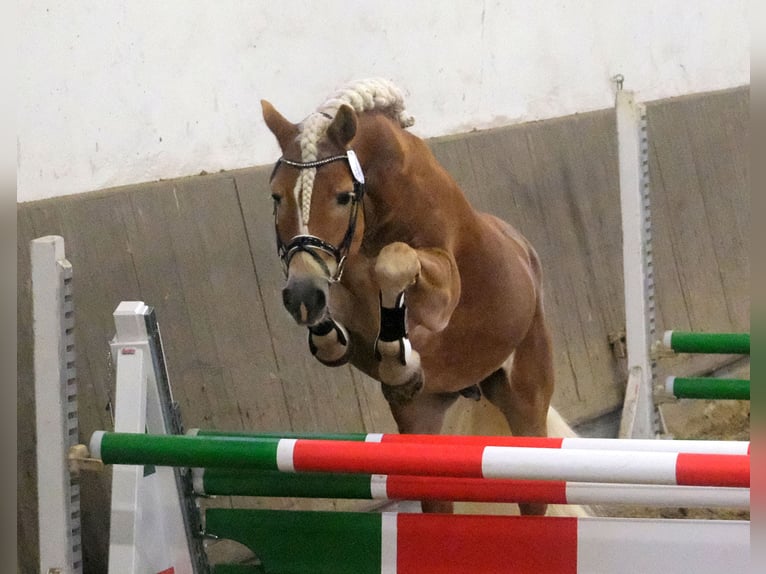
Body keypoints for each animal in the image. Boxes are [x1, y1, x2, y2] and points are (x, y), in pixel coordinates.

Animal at [264, 79, 560, 516]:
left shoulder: (442, 287)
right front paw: (328, 331)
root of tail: (526, 251)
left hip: (526, 402)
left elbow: (394, 264)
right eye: (276, 196)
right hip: (423, 418)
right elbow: (337, 306)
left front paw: (397, 355)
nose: (302, 298)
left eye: (342, 196)